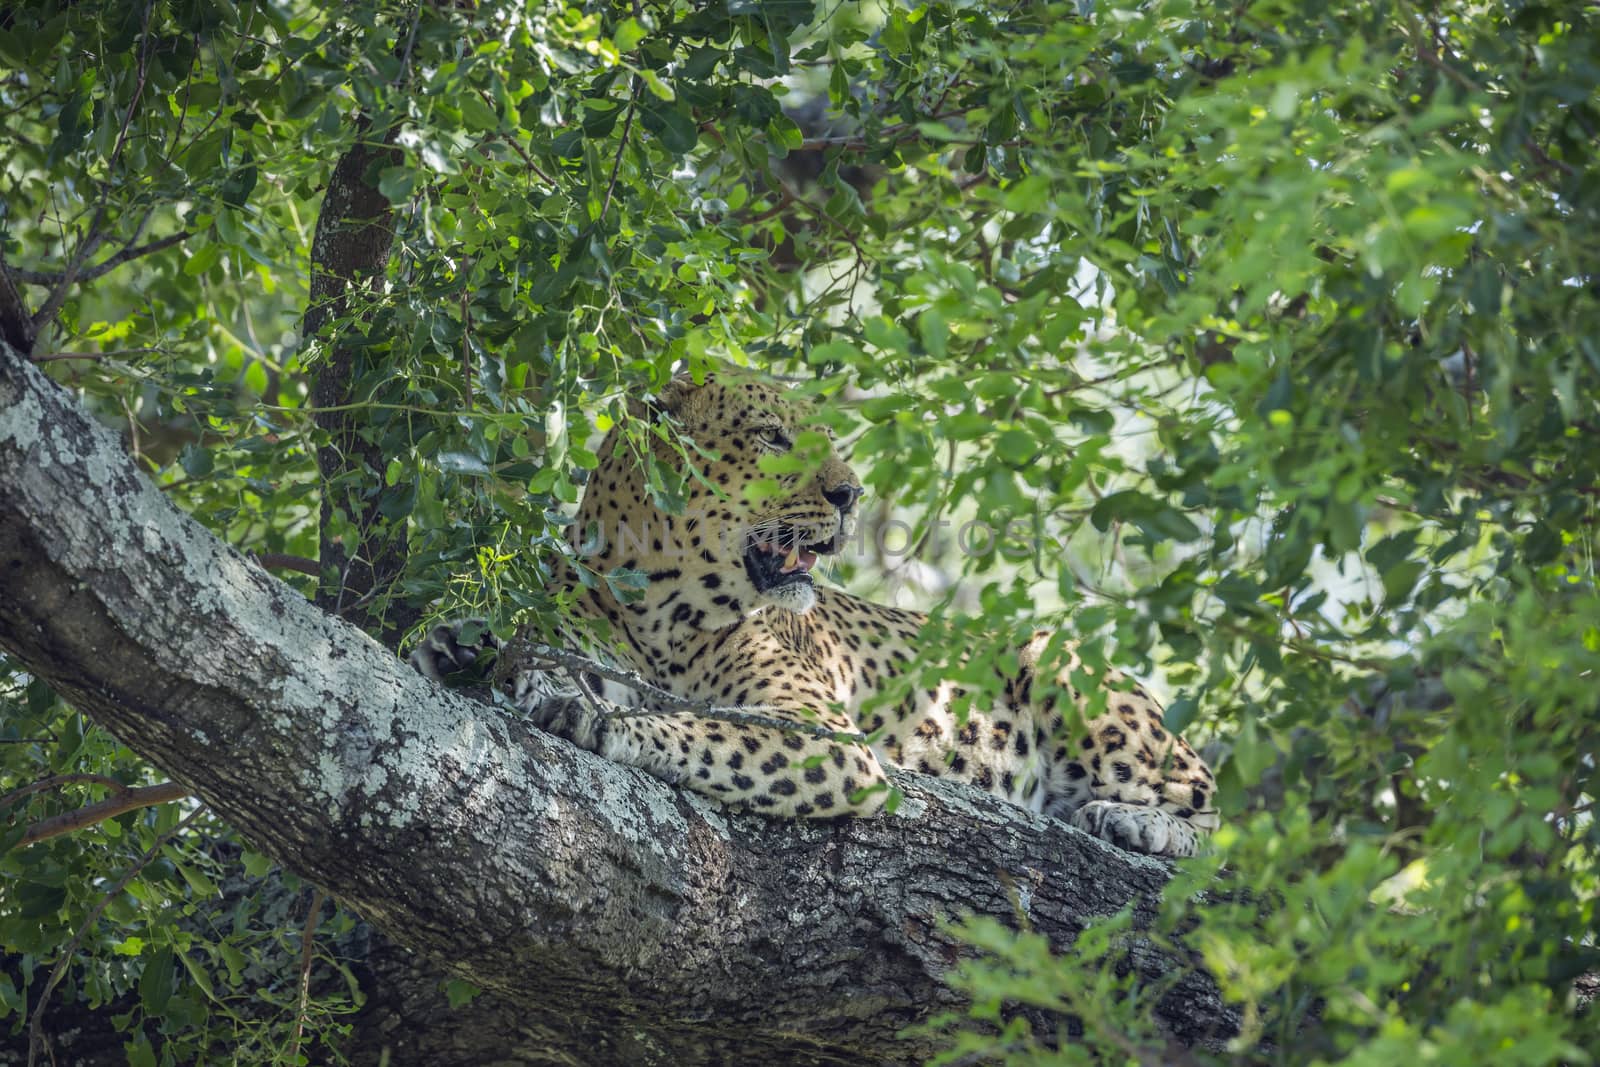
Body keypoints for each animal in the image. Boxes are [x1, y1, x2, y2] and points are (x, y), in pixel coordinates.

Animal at [406, 371, 1216, 857]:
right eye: (772, 436)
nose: (850, 495)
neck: (659, 605)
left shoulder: (831, 739)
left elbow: (708, 730)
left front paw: (598, 719)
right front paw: (460, 644)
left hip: (1066, 668)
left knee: (1217, 824)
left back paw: (1133, 820)